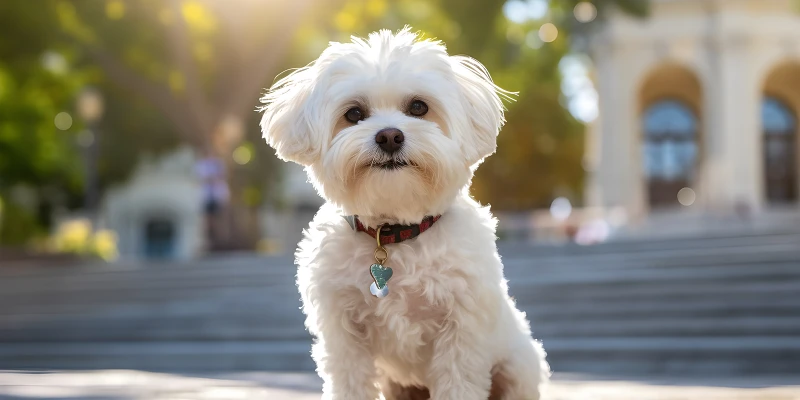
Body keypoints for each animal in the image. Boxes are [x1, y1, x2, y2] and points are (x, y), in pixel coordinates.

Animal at [262, 26, 552, 398]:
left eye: (418, 107)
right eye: (353, 114)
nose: (389, 136)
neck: (394, 232)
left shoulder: (462, 332)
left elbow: (458, 382)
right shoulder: (343, 332)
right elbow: (351, 381)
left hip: (517, 366)